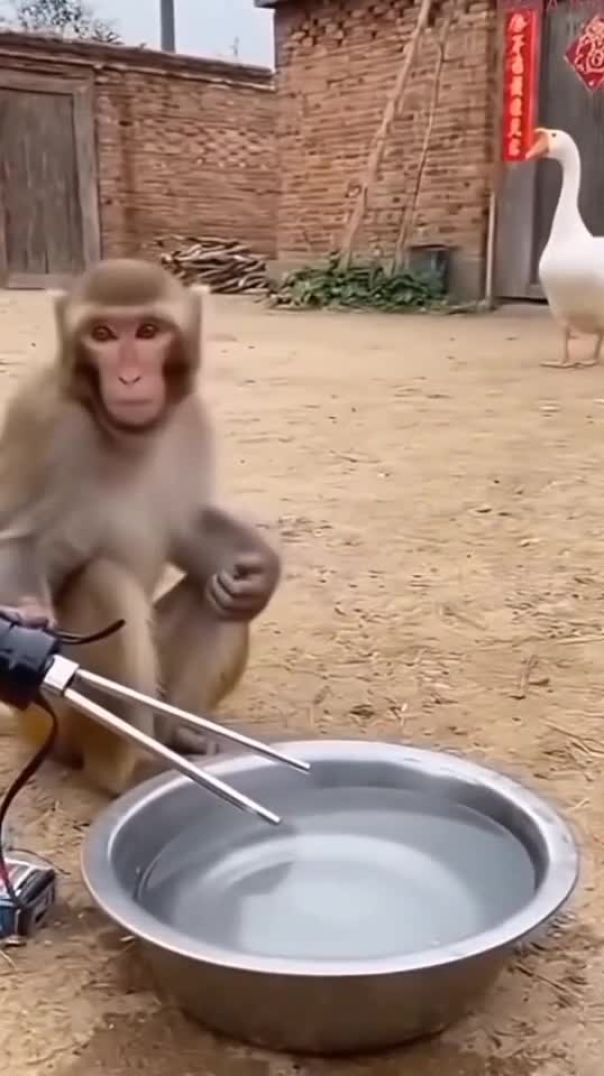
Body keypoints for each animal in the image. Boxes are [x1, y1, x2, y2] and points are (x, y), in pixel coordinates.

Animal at [0, 258, 281, 796]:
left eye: (149, 331)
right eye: (102, 334)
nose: (130, 376)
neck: (122, 435)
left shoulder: (191, 421)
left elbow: (188, 526)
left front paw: (261, 573)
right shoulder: (39, 418)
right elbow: (17, 539)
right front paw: (25, 615)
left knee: (215, 594)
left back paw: (183, 736)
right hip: (54, 722)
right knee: (103, 581)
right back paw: (125, 772)